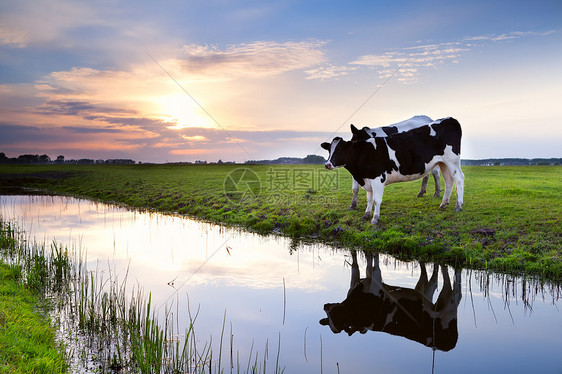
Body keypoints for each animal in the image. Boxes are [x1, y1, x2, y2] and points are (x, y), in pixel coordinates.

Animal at [320, 253, 460, 352]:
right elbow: (359, 265)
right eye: (328, 317)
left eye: (335, 315)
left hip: (448, 310)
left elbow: (374, 265)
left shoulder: (376, 283)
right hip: (431, 302)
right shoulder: (362, 281)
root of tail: (449, 345)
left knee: (456, 294)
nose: (325, 306)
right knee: (434, 283)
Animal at [322, 116, 462, 225]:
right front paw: (365, 214)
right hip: (443, 163)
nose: (327, 164)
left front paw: (375, 219)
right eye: (329, 150)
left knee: (458, 179)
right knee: (448, 181)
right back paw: (442, 204)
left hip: (452, 161)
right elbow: (368, 198)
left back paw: (457, 205)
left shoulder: (378, 178)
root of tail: (449, 119)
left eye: (340, 150)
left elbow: (376, 200)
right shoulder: (367, 178)